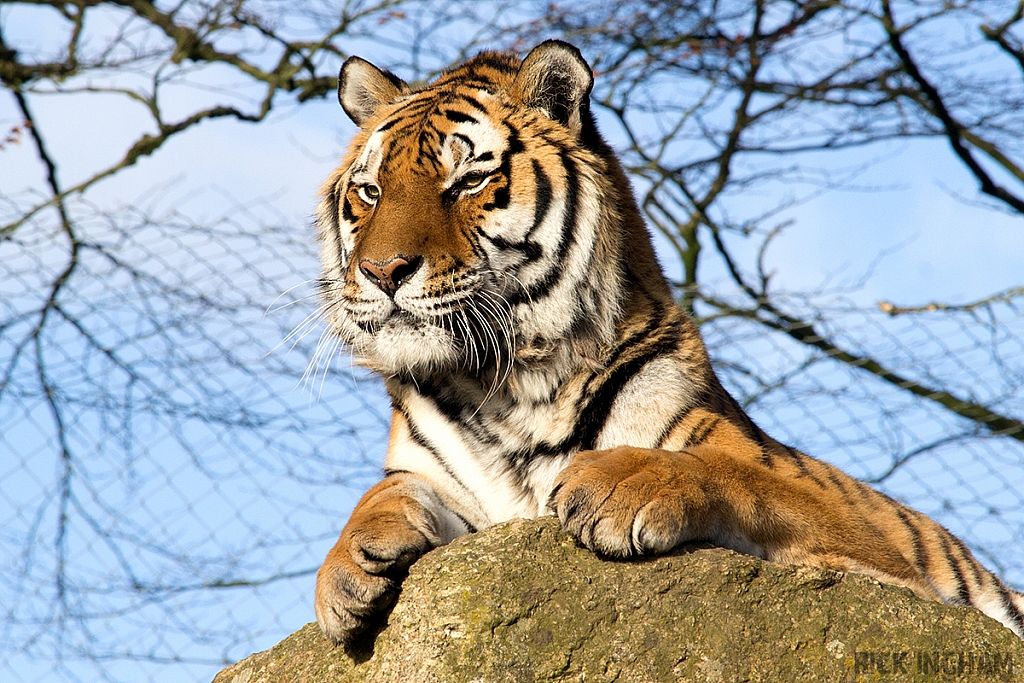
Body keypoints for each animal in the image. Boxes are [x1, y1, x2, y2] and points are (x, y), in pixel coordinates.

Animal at [311, 38, 1024, 647]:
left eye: (467, 182)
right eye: (370, 191)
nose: (382, 271)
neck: (508, 388)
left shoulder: (862, 535)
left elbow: (745, 475)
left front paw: (618, 481)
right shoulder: (435, 476)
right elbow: (383, 491)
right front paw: (346, 569)